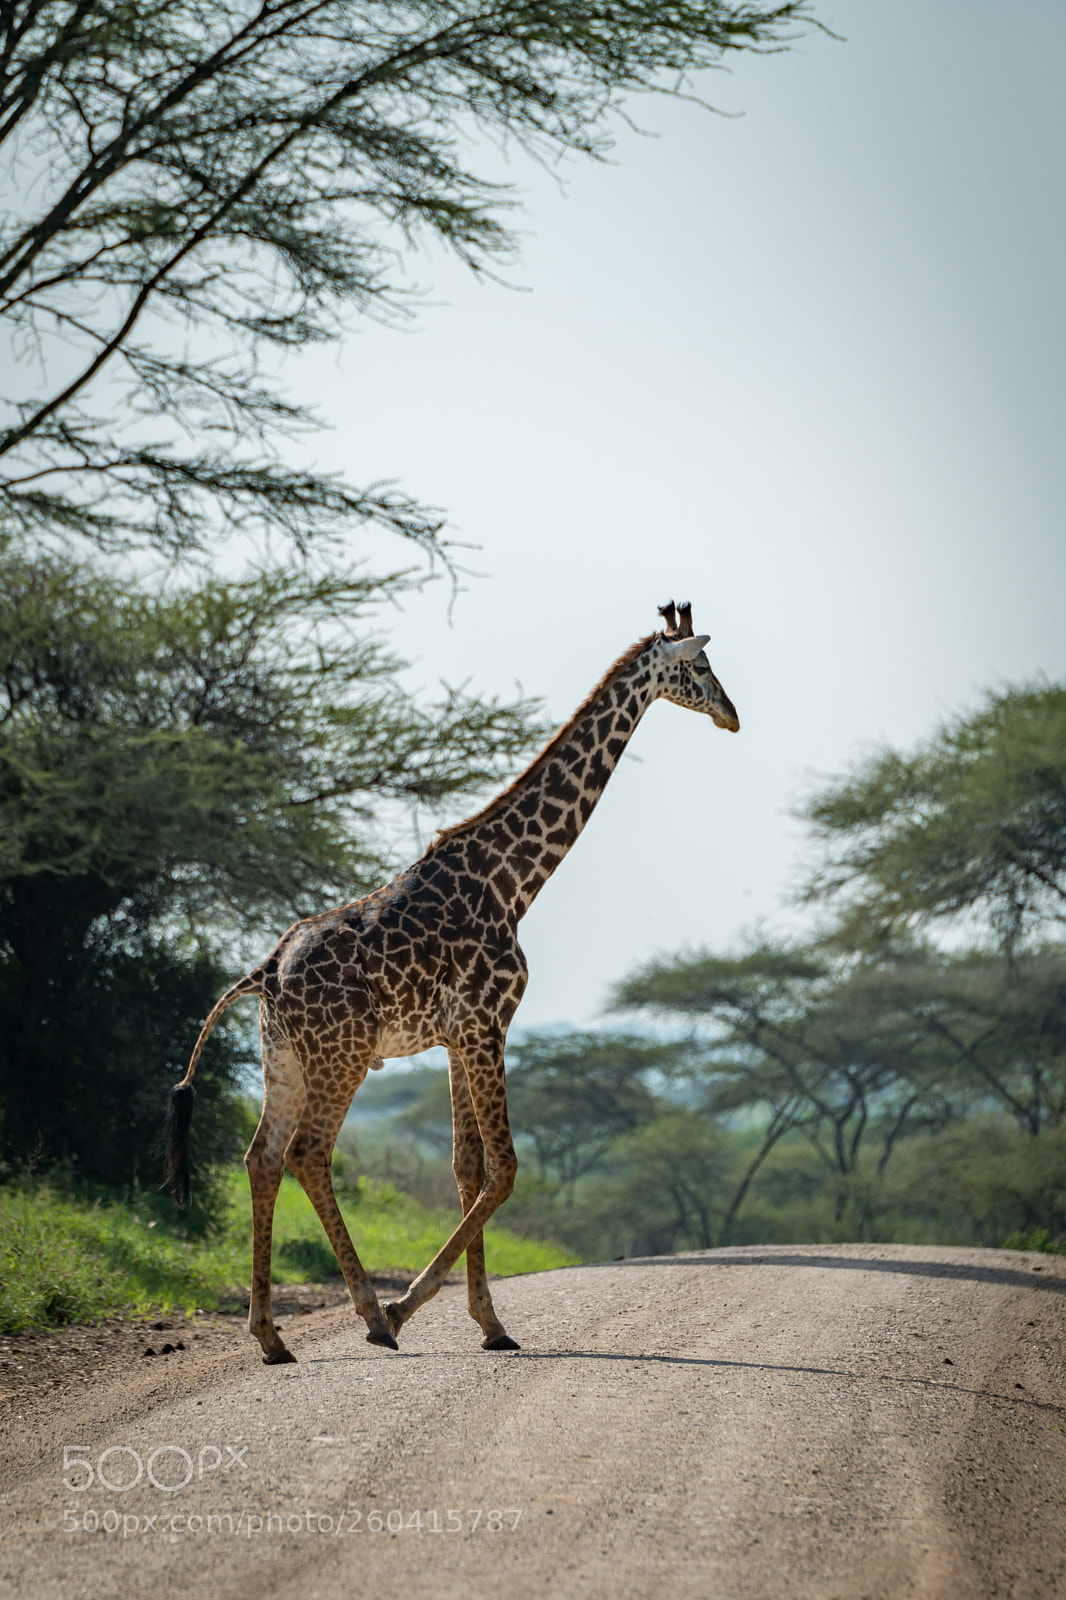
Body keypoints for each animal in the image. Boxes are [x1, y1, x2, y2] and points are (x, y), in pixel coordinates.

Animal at [164, 601, 739, 1363]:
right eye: (700, 665)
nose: (733, 716)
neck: (513, 880)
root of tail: (267, 972)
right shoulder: (488, 1024)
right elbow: (507, 1168)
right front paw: (413, 1307)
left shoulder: (456, 1036)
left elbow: (468, 1168)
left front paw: (490, 1323)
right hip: (343, 1055)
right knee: (307, 1152)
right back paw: (372, 1315)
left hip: (281, 1057)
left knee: (261, 1156)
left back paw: (270, 1336)